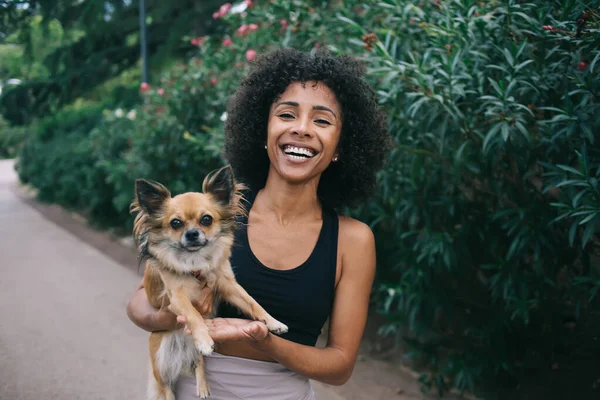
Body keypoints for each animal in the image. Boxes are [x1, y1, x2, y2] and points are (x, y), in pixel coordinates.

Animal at [132, 164, 290, 398]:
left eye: (206, 219)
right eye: (175, 223)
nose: (191, 233)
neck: (195, 261)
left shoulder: (228, 284)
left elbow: (252, 303)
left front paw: (273, 322)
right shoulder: (176, 298)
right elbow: (193, 314)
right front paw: (205, 339)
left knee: (199, 362)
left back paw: (203, 386)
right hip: (160, 359)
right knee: (166, 386)